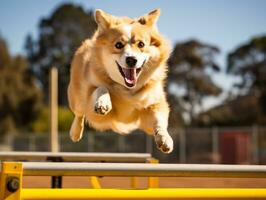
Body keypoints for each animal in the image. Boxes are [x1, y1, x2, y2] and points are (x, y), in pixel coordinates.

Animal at [67, 8, 174, 153]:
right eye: (118, 45)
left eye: (141, 44)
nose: (131, 60)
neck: (128, 89)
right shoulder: (93, 108)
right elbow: (100, 88)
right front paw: (103, 102)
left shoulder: (153, 104)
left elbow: (159, 121)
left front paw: (164, 138)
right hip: (76, 98)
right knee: (79, 113)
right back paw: (75, 132)